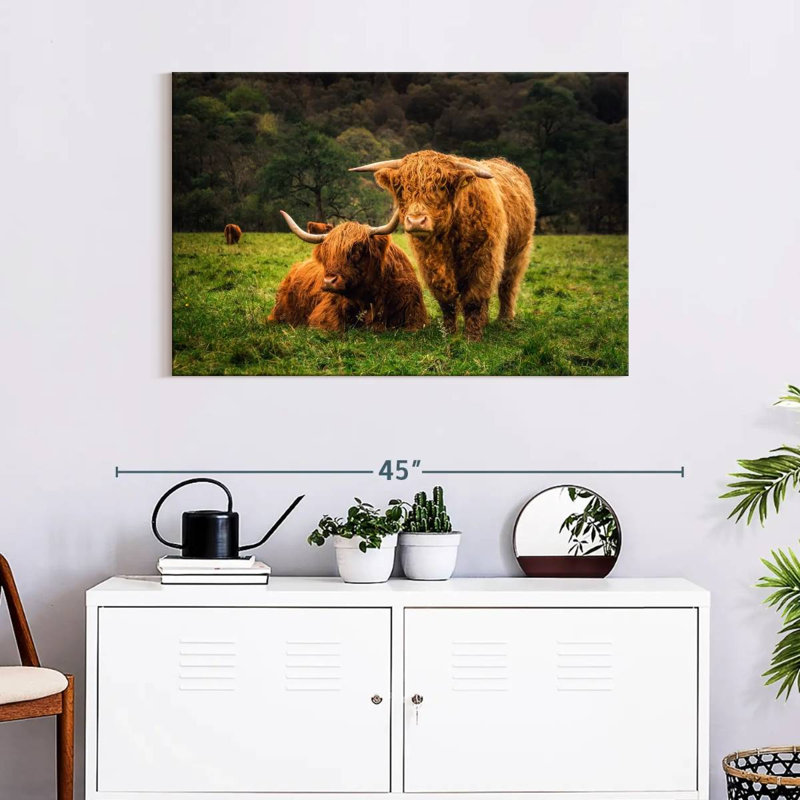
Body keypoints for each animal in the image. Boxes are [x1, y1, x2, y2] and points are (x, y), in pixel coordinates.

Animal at [350, 150, 536, 341]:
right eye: (401, 188)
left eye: (440, 186)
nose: (416, 221)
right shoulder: (430, 265)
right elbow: (446, 300)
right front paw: (449, 333)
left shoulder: (484, 261)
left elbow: (474, 299)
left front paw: (472, 337)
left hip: (518, 254)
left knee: (507, 286)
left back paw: (505, 321)